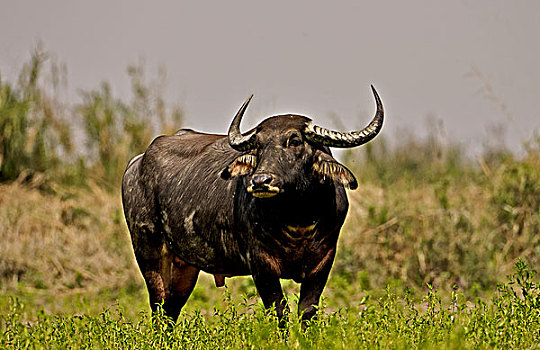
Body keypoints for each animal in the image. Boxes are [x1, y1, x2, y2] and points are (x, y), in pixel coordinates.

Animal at [122, 86, 384, 324]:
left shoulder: (323, 260)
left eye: (294, 140)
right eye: (258, 144)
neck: (298, 218)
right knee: (158, 305)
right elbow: (279, 311)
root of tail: (136, 164)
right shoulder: (261, 264)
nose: (260, 181)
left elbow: (307, 312)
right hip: (149, 251)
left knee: (171, 310)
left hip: (184, 266)